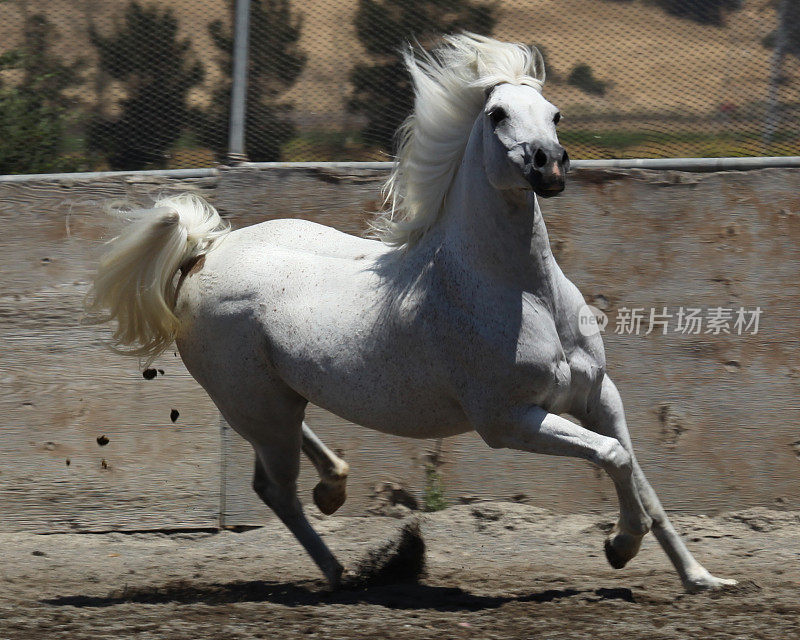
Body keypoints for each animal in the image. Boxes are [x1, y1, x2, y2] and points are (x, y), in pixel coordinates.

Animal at [87, 35, 736, 592]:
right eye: (498, 114)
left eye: (554, 115)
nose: (549, 165)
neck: (522, 292)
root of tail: (206, 252)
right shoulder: (510, 421)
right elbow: (613, 457)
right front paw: (620, 546)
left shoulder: (599, 394)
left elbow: (638, 475)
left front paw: (702, 578)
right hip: (252, 403)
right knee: (274, 490)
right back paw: (344, 573)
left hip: (273, 398)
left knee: (292, 450)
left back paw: (335, 488)